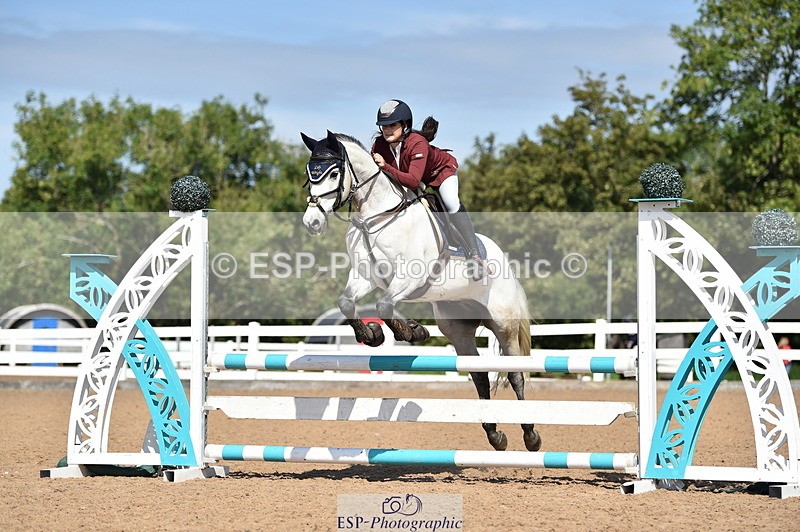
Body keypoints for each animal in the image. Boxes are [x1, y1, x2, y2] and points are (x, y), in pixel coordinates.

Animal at [300, 130, 541, 452]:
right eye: (309, 174)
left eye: (334, 173)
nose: (311, 223)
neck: (375, 217)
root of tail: (504, 260)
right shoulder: (365, 277)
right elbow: (347, 303)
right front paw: (376, 336)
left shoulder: (409, 277)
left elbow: (384, 306)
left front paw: (409, 332)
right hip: (457, 328)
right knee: (479, 374)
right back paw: (495, 435)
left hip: (504, 324)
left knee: (515, 373)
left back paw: (531, 435)